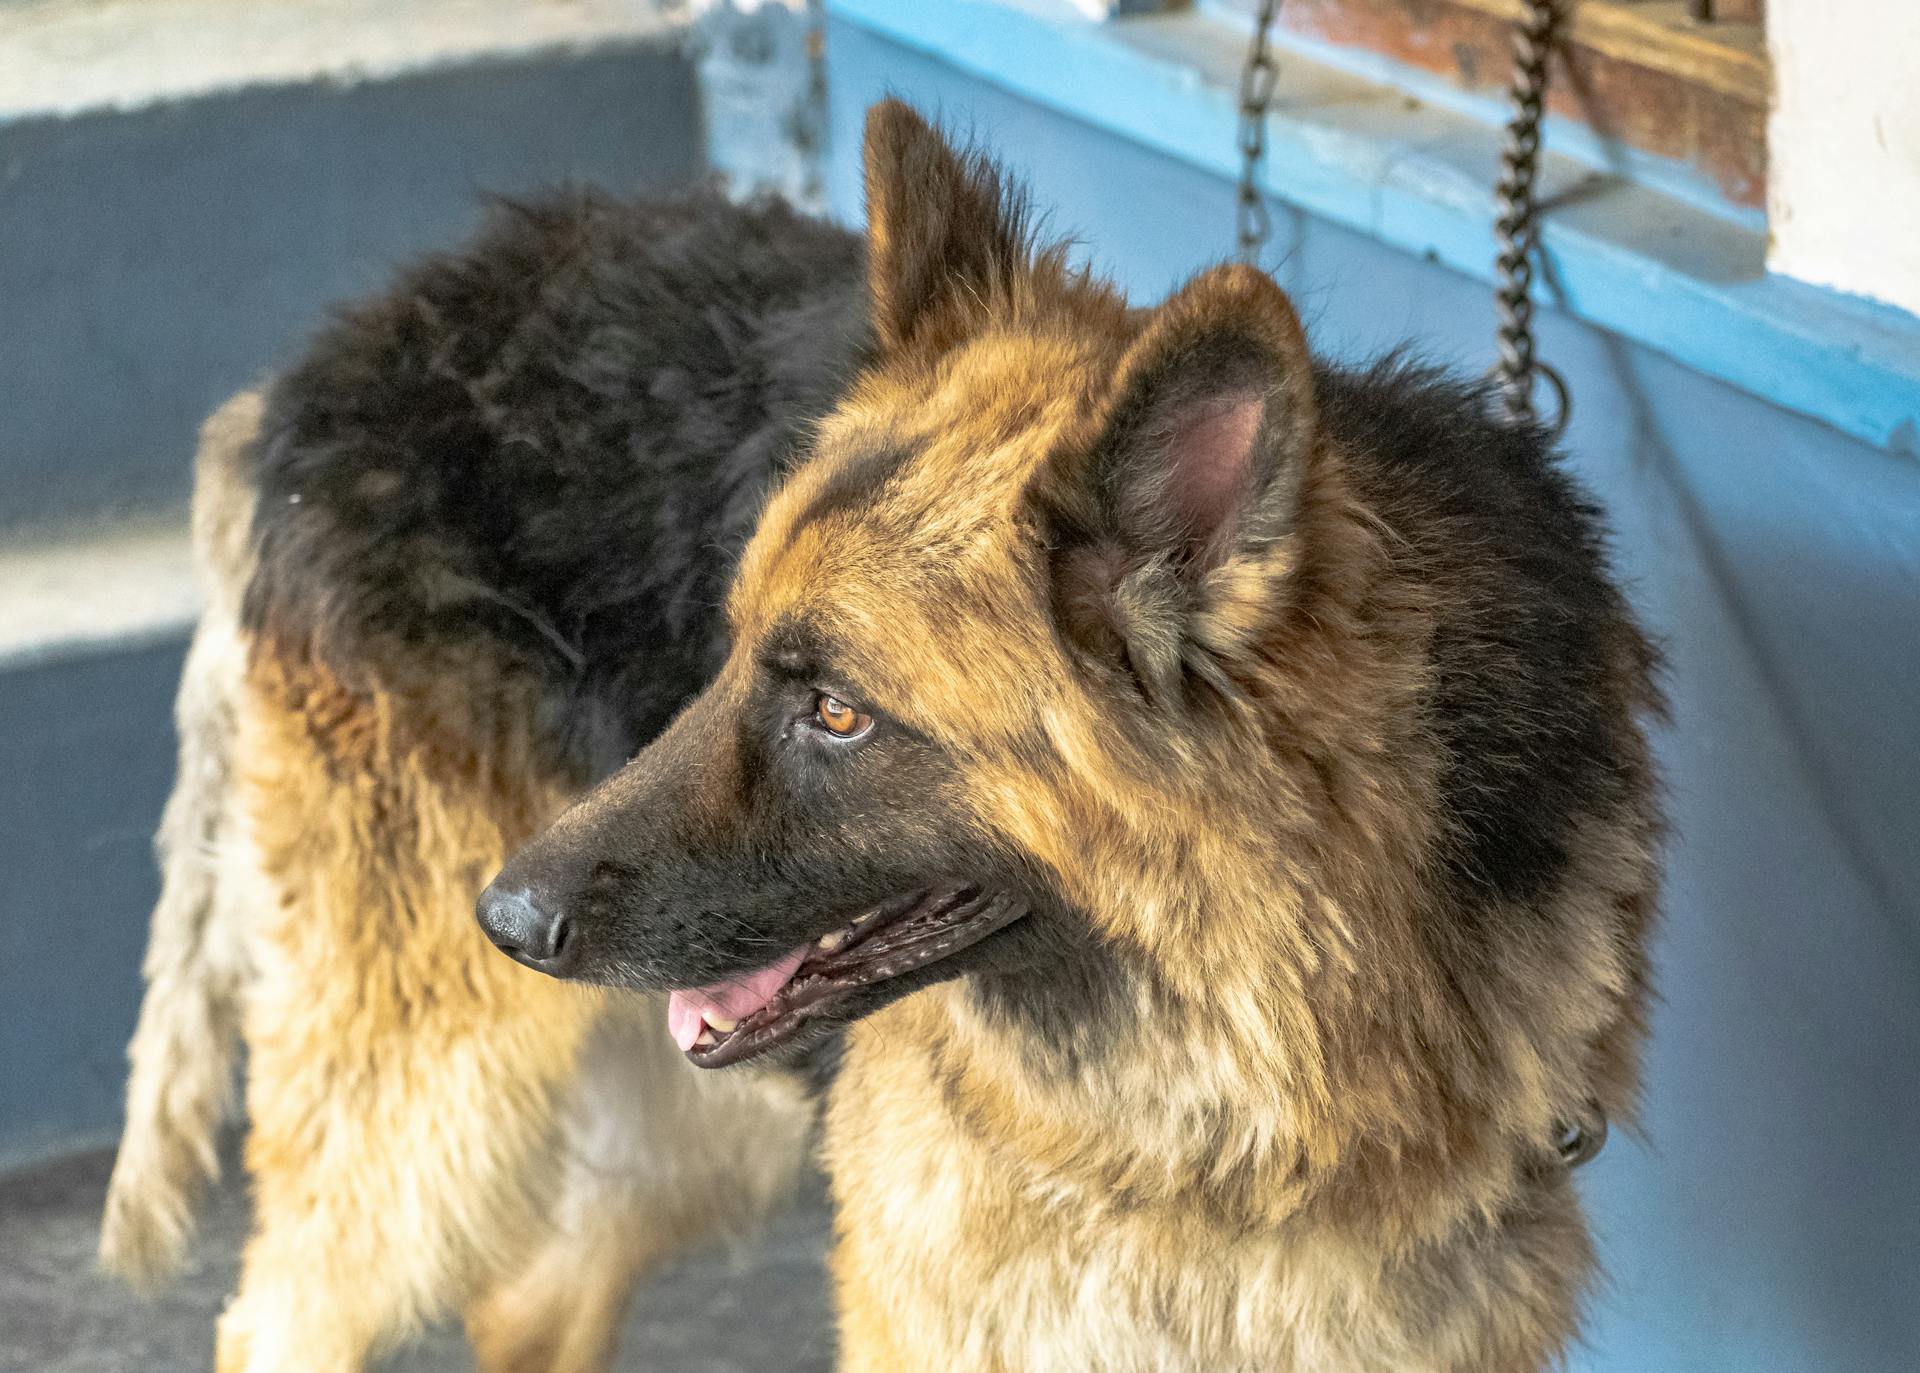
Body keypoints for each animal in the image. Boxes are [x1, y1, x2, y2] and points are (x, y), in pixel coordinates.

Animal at [105, 102, 1658, 1367]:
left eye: (838, 712)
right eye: (729, 651)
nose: (506, 918)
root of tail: (320, 368)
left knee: (528, 1305)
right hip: (434, 1094)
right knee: (286, 1313)